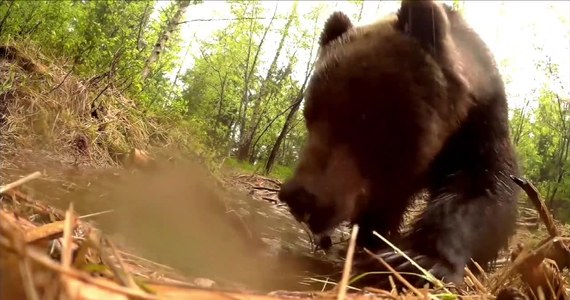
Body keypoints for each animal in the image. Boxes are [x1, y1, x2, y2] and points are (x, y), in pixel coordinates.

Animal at [276, 0, 520, 288]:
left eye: (362, 115)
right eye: (311, 115)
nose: (300, 196)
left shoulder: (480, 127)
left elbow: (481, 190)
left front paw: (415, 259)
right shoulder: (384, 180)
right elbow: (380, 210)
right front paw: (370, 247)